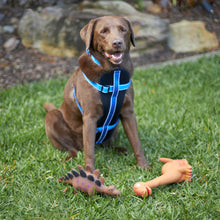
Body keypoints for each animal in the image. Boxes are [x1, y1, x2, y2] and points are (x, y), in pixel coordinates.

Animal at [44, 15, 152, 170]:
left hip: (116, 124)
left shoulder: (128, 112)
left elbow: (136, 142)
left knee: (107, 144)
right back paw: (70, 157)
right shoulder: (90, 117)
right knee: (73, 148)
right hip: (52, 118)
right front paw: (89, 171)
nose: (117, 43)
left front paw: (143, 166)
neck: (113, 75)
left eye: (123, 29)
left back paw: (119, 149)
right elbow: (89, 151)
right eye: (103, 31)